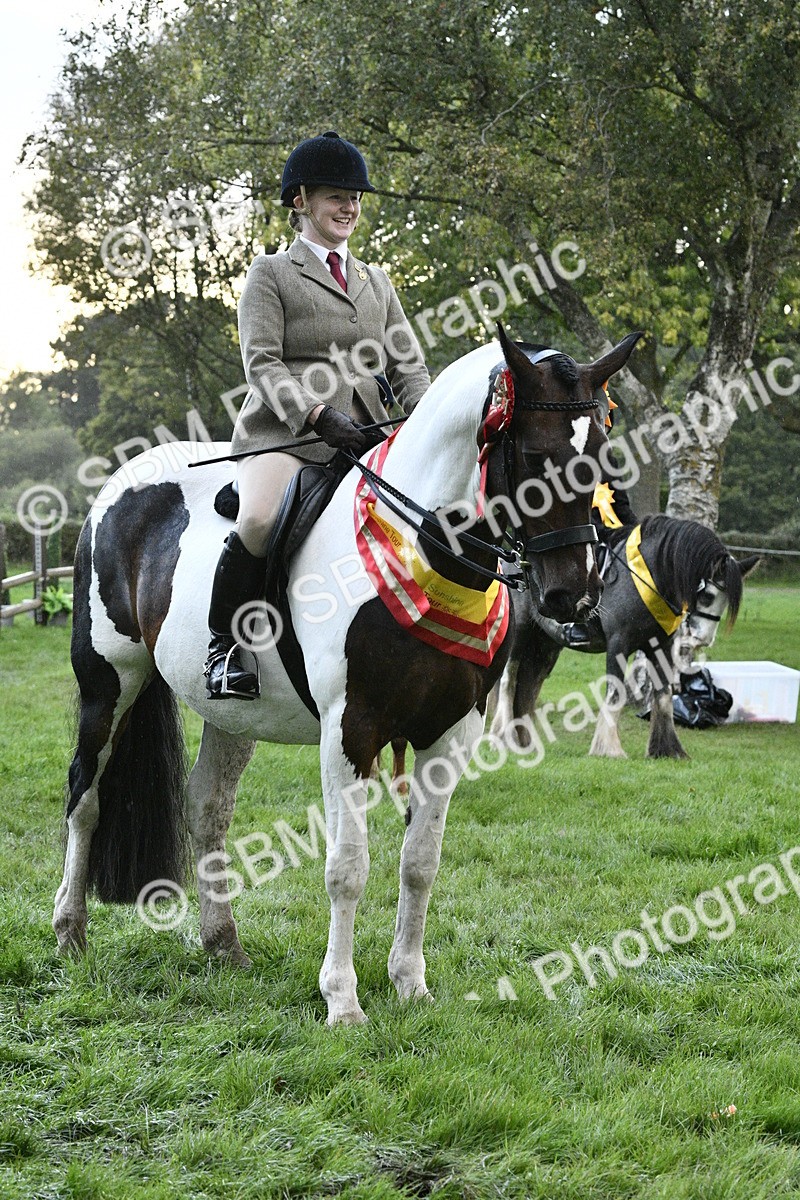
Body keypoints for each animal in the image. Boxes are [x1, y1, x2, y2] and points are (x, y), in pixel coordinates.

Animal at [54, 325, 641, 1025]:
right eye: (531, 451)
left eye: (601, 454)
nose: (571, 597)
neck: (424, 552)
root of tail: (120, 485)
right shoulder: (350, 729)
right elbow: (348, 865)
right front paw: (342, 1000)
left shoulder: (451, 732)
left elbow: (420, 862)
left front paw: (410, 983)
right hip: (108, 682)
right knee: (85, 795)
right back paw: (70, 933)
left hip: (232, 715)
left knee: (207, 808)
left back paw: (223, 945)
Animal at [490, 515, 759, 760]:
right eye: (707, 595)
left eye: (724, 601)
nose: (703, 638)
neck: (650, 579)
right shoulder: (618, 643)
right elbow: (616, 692)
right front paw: (608, 748)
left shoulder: (661, 647)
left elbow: (663, 695)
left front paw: (667, 749)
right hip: (522, 634)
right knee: (508, 681)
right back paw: (502, 737)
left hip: (545, 645)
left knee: (528, 687)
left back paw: (525, 743)